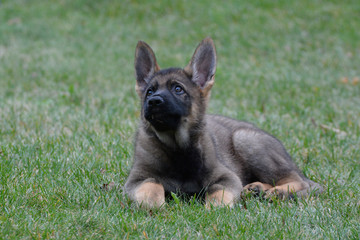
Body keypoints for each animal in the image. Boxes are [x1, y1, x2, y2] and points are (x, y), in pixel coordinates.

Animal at [124, 37, 324, 208]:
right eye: (149, 92)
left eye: (178, 89)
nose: (153, 101)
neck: (177, 148)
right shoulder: (137, 179)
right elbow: (152, 185)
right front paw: (152, 203)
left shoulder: (227, 177)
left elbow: (218, 193)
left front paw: (214, 208)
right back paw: (257, 188)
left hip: (245, 139)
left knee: (298, 181)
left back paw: (278, 192)